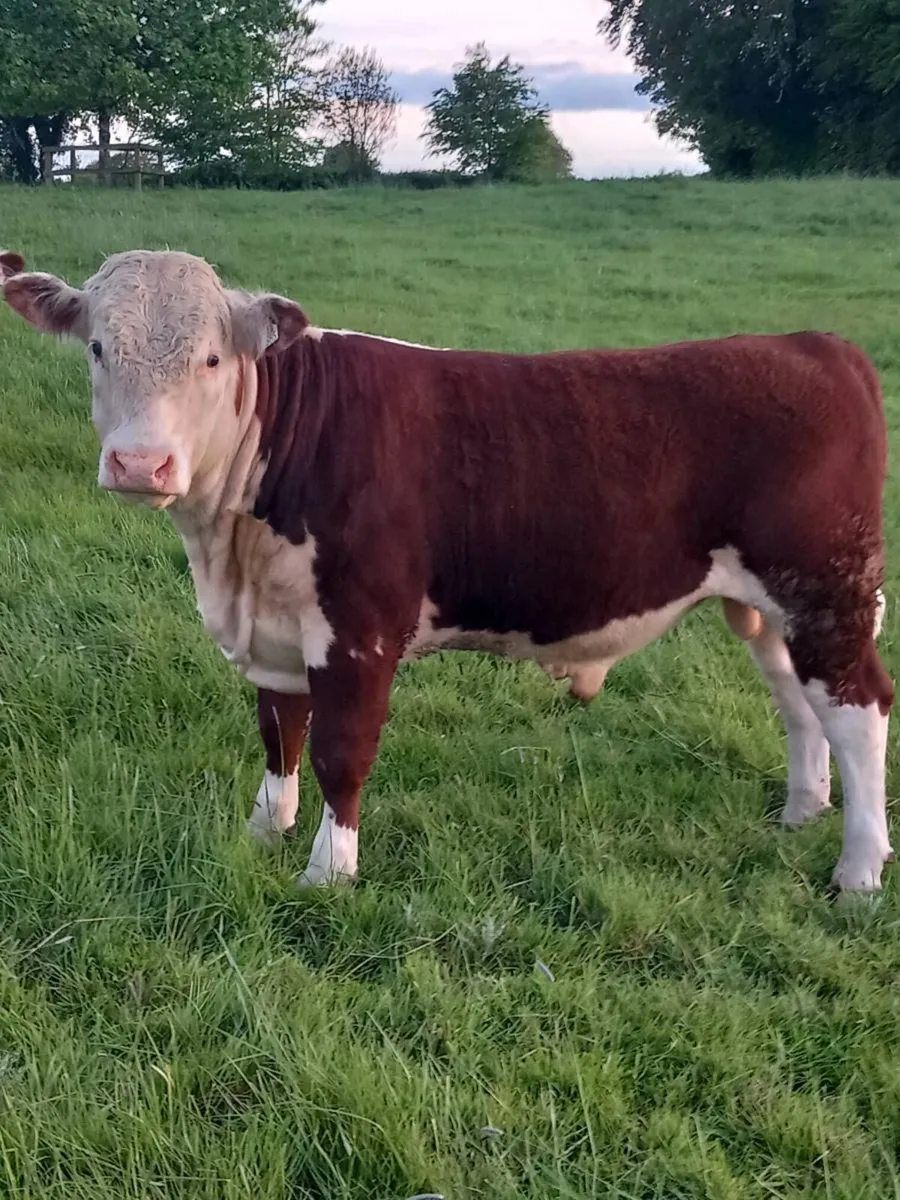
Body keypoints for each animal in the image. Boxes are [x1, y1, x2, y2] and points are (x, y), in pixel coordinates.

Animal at [1, 248, 893, 894]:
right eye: (97, 347)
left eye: (213, 359)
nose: (139, 463)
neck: (231, 553)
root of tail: (810, 343)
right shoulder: (279, 629)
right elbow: (279, 732)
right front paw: (264, 831)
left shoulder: (361, 630)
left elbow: (341, 750)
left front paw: (328, 873)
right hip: (768, 603)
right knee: (797, 699)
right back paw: (801, 811)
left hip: (827, 584)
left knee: (860, 708)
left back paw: (858, 869)